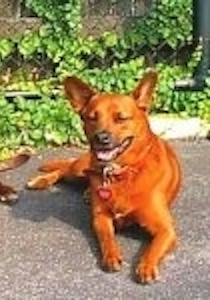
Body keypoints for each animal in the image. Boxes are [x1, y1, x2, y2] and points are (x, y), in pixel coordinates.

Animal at [27, 71, 181, 284]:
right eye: (92, 118)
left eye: (121, 118)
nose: (101, 138)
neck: (121, 173)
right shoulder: (100, 218)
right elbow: (107, 238)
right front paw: (111, 255)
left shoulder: (166, 230)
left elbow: (154, 247)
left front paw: (146, 265)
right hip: (79, 169)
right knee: (64, 169)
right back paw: (41, 180)